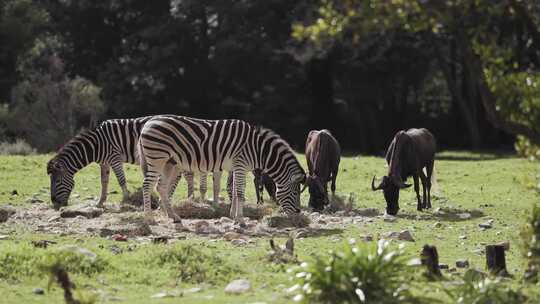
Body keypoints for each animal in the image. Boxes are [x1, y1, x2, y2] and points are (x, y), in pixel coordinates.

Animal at [138, 114, 308, 223]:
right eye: (295, 193)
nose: (298, 214)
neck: (258, 150)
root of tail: (149, 122)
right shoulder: (240, 165)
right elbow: (239, 193)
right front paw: (240, 219)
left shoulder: (237, 167)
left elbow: (234, 191)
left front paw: (233, 215)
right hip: (157, 158)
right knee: (147, 185)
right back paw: (149, 218)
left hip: (169, 162)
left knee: (161, 187)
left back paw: (173, 216)